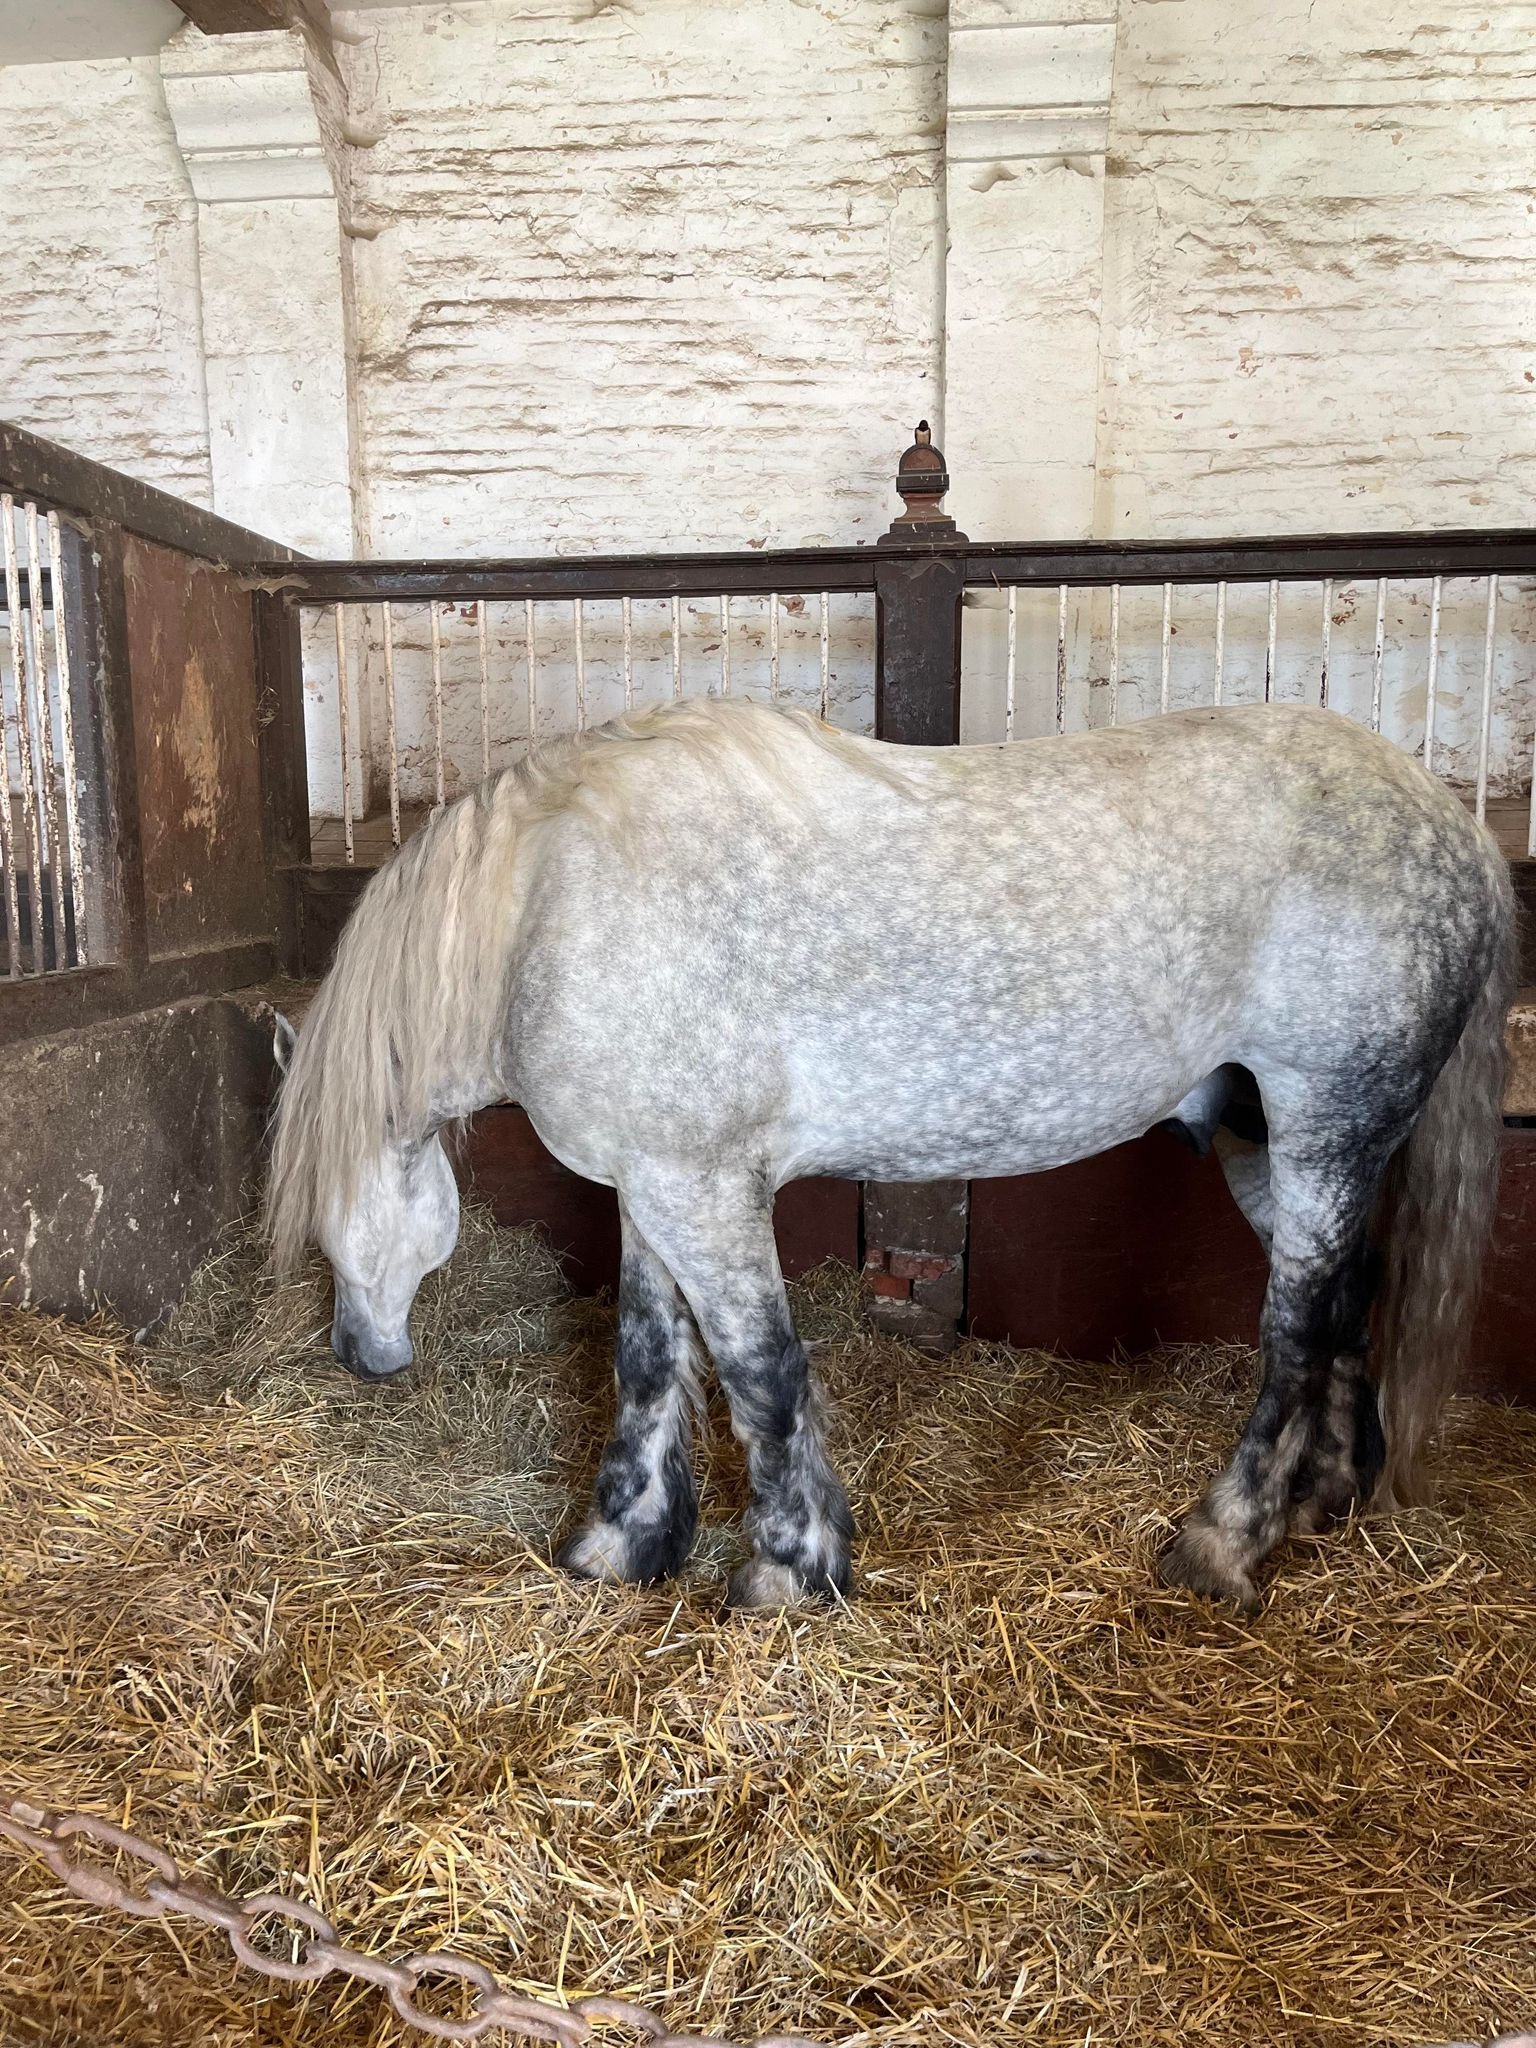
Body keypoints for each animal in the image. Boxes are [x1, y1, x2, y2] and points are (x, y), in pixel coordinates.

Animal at [266, 697, 1513, 1613]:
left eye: (328, 1222)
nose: (357, 1356)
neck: (547, 909)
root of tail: (1453, 825)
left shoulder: (702, 1190)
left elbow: (762, 1370)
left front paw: (788, 1567)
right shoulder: (655, 1185)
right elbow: (649, 1360)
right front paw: (622, 1544)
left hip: (1325, 1126)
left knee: (1296, 1334)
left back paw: (1226, 1541)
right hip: (1272, 1142)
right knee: (1347, 1296)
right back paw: (1328, 1496)